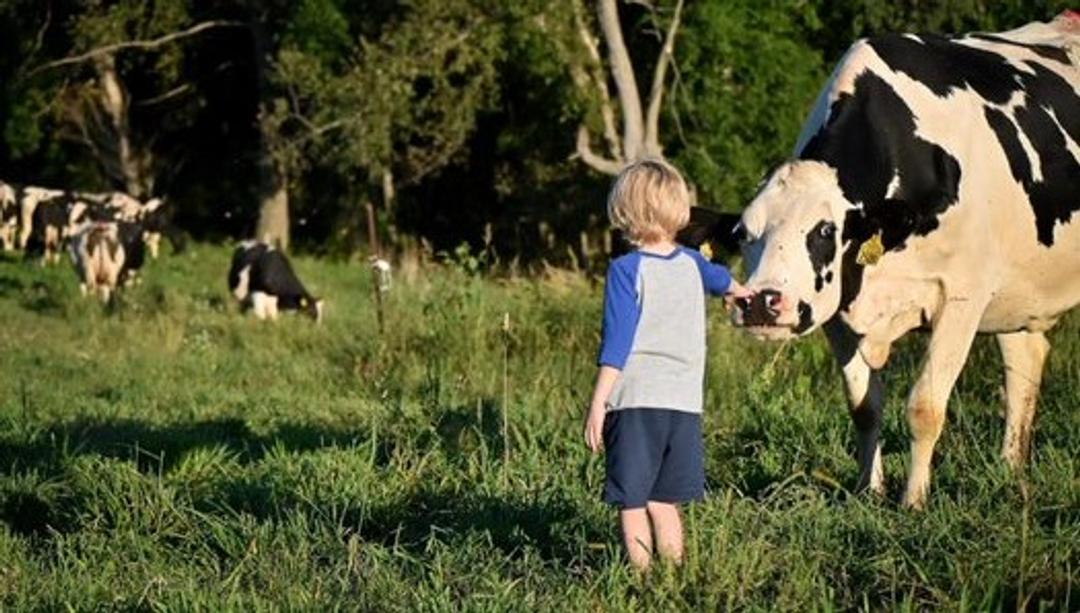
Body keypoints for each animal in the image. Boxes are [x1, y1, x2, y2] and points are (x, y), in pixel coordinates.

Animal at [686, 14, 1080, 509]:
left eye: (824, 230)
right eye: (742, 234)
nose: (760, 302)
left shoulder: (962, 297)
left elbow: (924, 405)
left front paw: (914, 500)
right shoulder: (836, 310)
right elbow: (864, 405)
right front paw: (868, 491)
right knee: (1024, 360)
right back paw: (1011, 473)